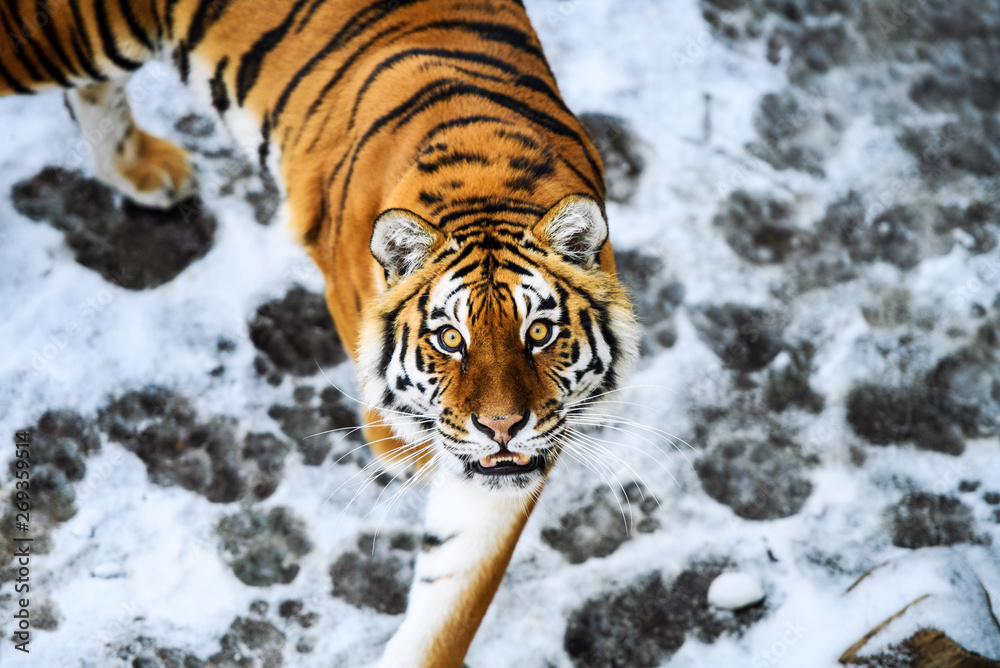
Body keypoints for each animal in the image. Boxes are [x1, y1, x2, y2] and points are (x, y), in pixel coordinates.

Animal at [0, 0, 639, 665]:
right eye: (449, 340)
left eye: (539, 332)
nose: (501, 427)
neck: (487, 189)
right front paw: (399, 447)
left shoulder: (510, 466)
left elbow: (450, 604)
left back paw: (148, 172)